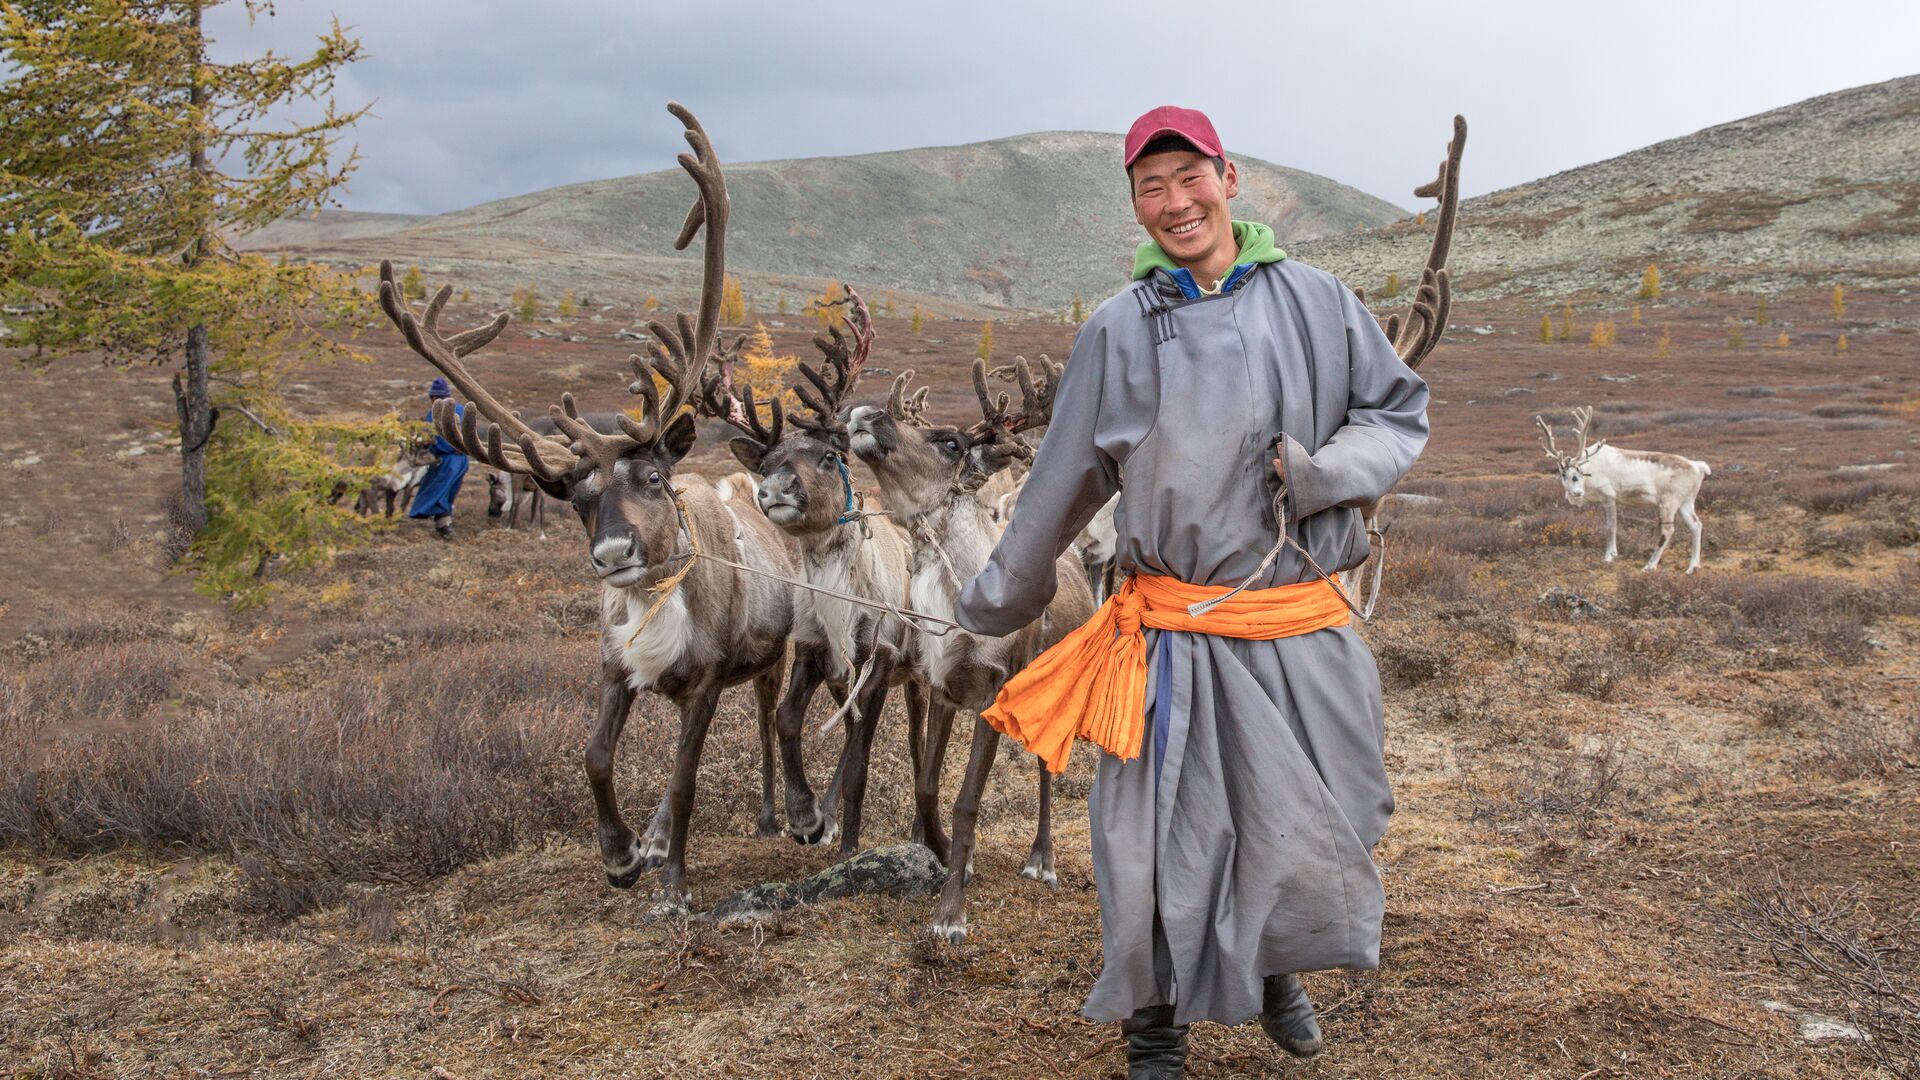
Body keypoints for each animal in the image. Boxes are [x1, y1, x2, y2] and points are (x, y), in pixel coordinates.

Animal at [374, 103, 819, 908]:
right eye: (577, 499)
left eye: (652, 477)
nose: (613, 553)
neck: (654, 599)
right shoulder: (616, 671)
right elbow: (595, 759)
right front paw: (620, 854)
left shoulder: (706, 680)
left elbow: (684, 779)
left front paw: (670, 879)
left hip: (777, 648)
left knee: (776, 719)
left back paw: (791, 812)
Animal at [714, 288, 937, 855]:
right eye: (764, 464)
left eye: (830, 455)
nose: (775, 490)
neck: (841, 596)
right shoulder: (816, 650)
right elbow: (789, 720)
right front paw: (805, 813)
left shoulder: (881, 658)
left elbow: (860, 761)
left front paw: (850, 845)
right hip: (843, 674)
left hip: (915, 671)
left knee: (915, 738)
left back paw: (914, 830)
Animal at [847, 355, 1097, 943]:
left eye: (951, 442)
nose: (865, 414)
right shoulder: (941, 688)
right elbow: (927, 786)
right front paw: (944, 855)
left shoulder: (992, 693)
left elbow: (966, 803)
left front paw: (949, 915)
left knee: (1047, 770)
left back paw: (1042, 859)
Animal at [1536, 406, 1710, 573]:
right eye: (1563, 473)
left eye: (1579, 473)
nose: (1577, 493)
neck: (1591, 468)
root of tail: (1697, 466)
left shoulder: (1609, 496)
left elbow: (1611, 526)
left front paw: (1610, 555)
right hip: (1686, 502)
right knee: (1696, 525)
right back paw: (1693, 566)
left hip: (1669, 502)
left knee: (1667, 530)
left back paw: (1650, 566)